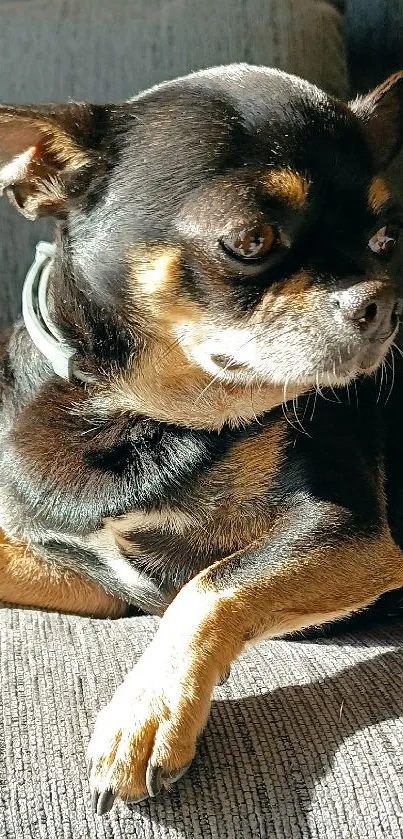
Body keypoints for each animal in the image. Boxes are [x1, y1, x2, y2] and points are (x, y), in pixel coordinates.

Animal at [0, 65, 403, 812]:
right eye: (249, 240)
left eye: (384, 241)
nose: (384, 301)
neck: (137, 416)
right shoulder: (93, 581)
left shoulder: (350, 534)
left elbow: (212, 586)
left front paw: (148, 712)